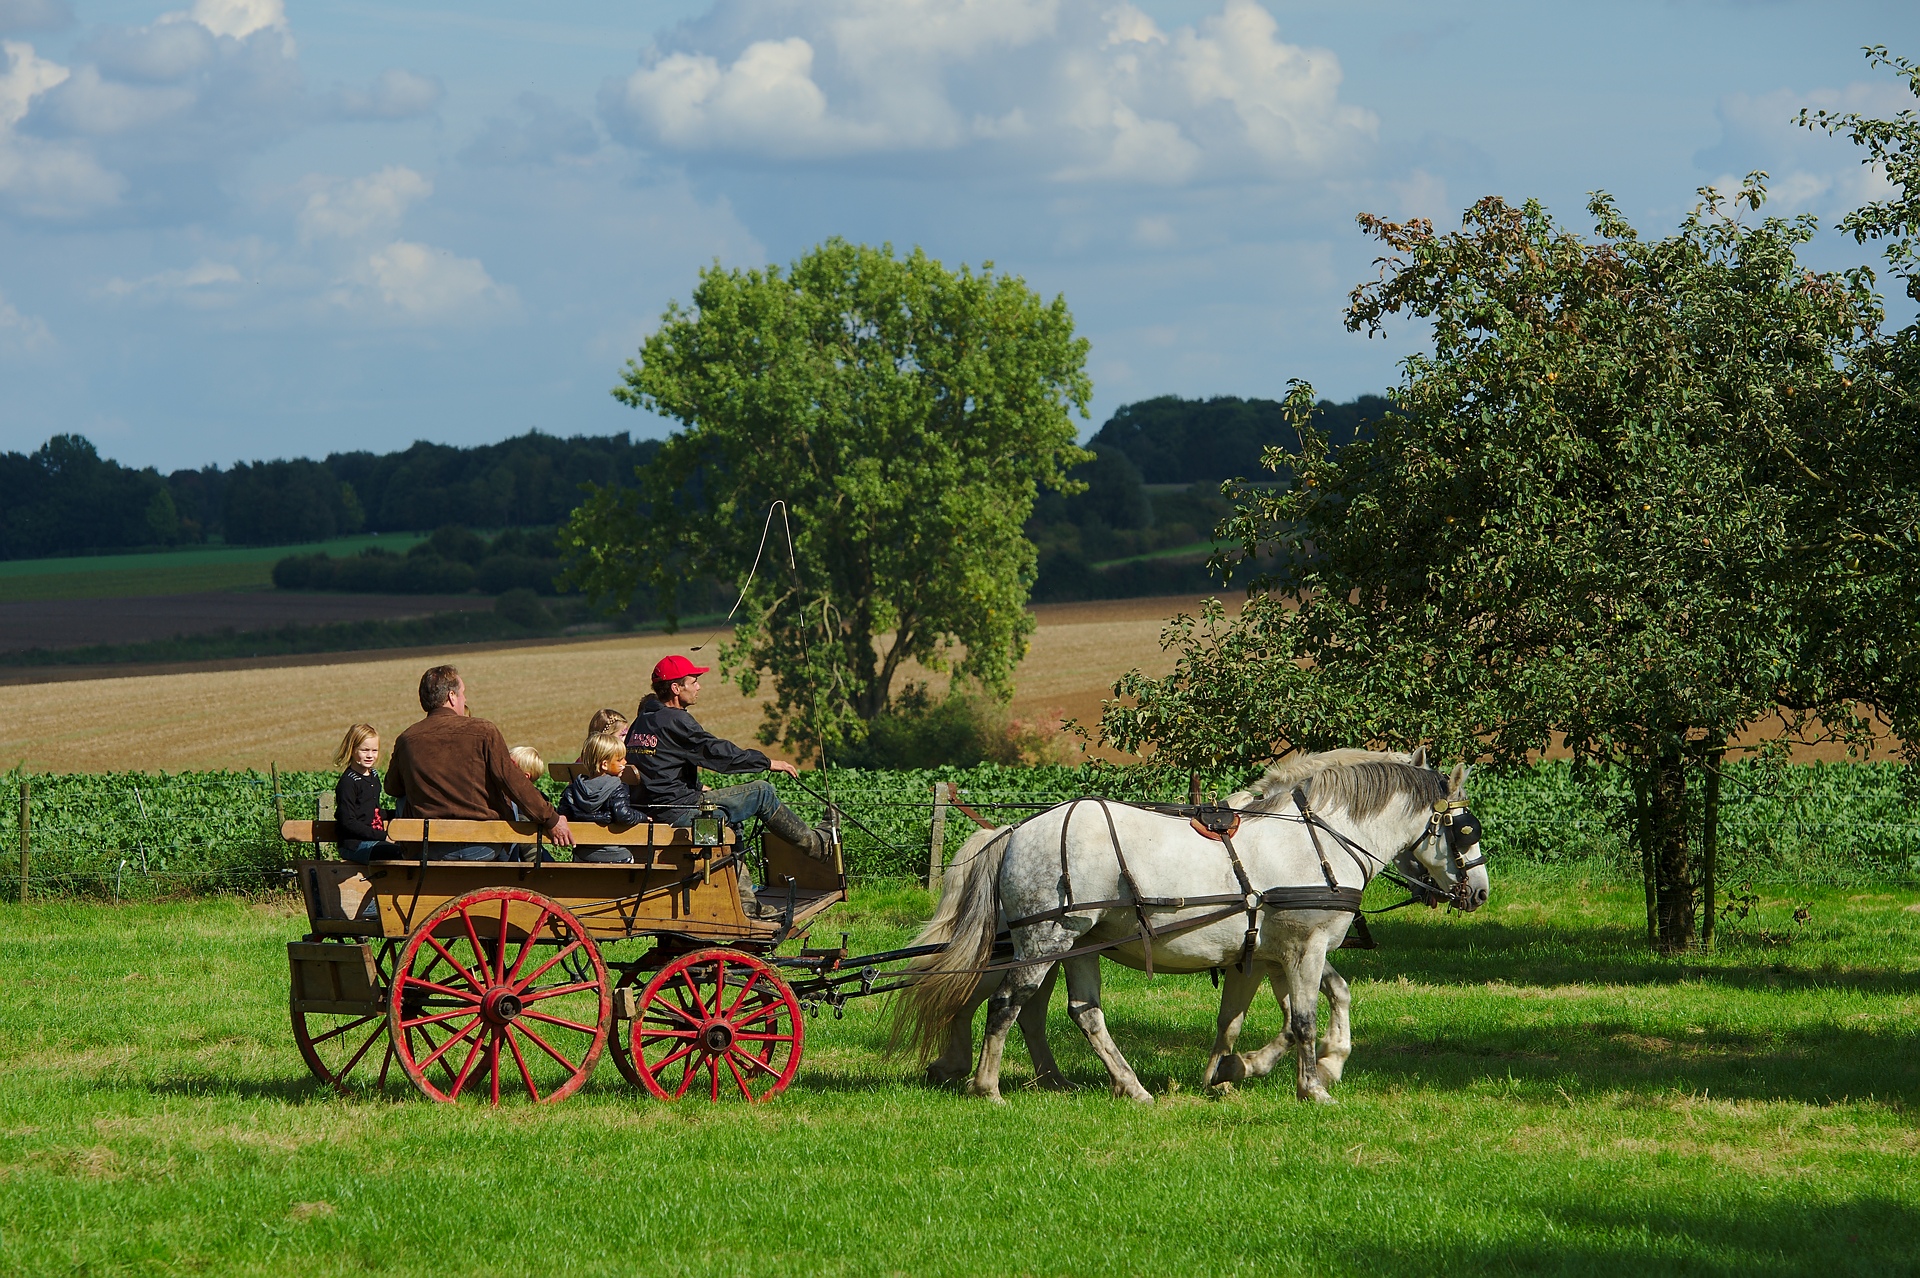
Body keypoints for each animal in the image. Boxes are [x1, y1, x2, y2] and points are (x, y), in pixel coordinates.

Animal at [890, 752, 1489, 1097]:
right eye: (1464, 828)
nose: (1481, 892)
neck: (1318, 837)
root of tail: (1014, 830)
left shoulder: (1276, 952)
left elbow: (1300, 1006)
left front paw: (1261, 1068)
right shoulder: (1305, 945)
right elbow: (1302, 1019)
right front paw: (1313, 1086)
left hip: (1077, 943)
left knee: (1080, 1012)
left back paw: (1125, 1086)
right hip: (1045, 938)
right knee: (1005, 1001)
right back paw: (985, 1084)